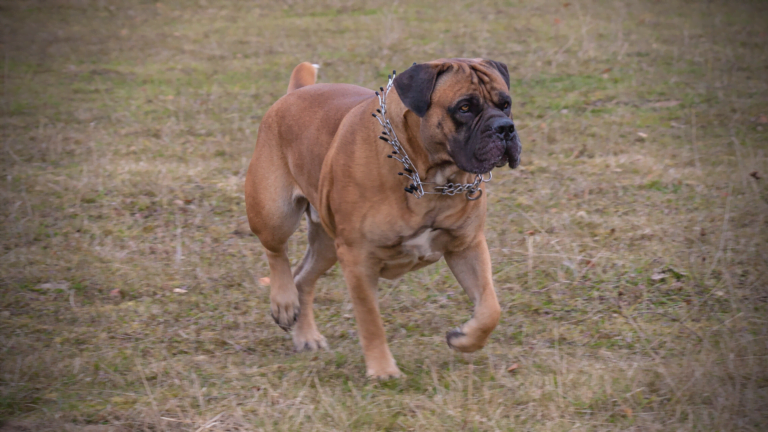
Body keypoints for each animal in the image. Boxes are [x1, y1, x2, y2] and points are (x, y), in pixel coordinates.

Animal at [246, 58, 520, 378]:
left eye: (505, 104)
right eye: (464, 107)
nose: (505, 128)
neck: (429, 176)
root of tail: (294, 93)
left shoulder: (466, 246)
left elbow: (490, 308)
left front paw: (463, 339)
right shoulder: (358, 257)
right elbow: (370, 320)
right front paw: (382, 370)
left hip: (327, 244)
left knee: (303, 277)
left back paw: (306, 336)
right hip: (275, 213)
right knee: (276, 253)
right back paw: (284, 302)